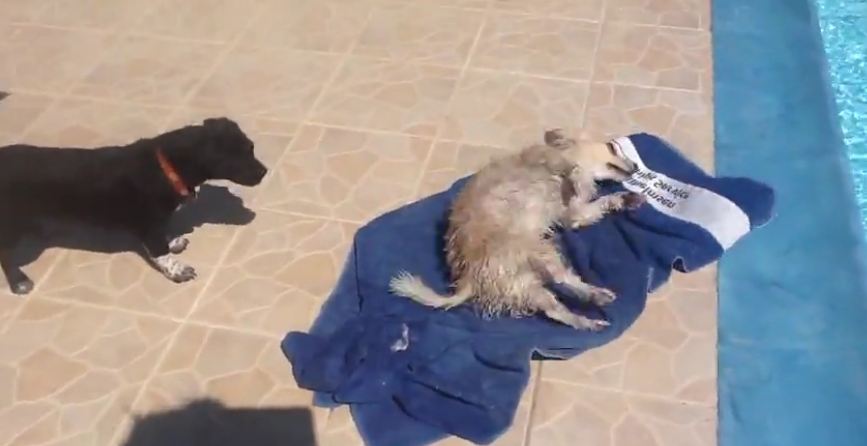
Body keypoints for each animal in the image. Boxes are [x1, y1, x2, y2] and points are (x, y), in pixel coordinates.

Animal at [0, 116, 268, 294]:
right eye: (241, 155)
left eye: (252, 148)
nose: (265, 172)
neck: (166, 167)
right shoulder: (147, 224)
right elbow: (160, 251)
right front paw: (177, 270)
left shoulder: (157, 221)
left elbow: (165, 233)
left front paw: (174, 241)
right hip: (11, 224)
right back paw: (18, 281)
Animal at [394, 130, 644, 332]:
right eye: (612, 146)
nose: (636, 167)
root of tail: (468, 278)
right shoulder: (552, 166)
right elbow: (567, 171)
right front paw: (572, 178)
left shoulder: (574, 213)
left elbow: (598, 203)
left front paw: (625, 198)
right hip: (537, 251)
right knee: (562, 280)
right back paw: (595, 299)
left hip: (525, 282)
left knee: (556, 306)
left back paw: (590, 314)